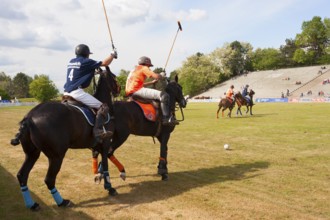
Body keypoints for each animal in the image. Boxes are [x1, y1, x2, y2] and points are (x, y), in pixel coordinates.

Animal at [9, 66, 121, 210]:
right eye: (114, 77)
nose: (119, 90)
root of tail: (29, 118)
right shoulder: (105, 143)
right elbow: (106, 164)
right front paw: (109, 187)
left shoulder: (96, 145)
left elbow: (101, 161)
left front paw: (99, 177)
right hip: (56, 156)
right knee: (49, 179)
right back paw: (62, 202)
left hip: (32, 153)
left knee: (22, 175)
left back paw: (32, 204)